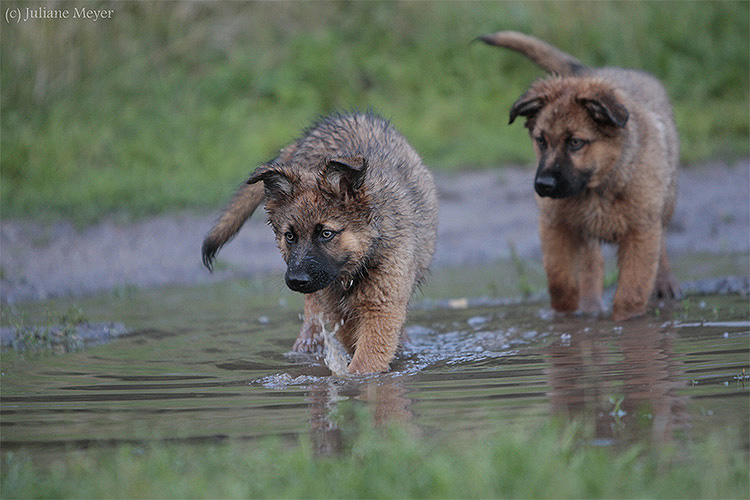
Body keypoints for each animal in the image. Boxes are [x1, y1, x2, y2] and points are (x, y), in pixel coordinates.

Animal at [204, 111, 440, 374]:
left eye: (326, 234)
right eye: (290, 236)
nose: (296, 280)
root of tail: (328, 122)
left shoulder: (382, 308)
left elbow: (365, 361)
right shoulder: (341, 313)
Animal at [478, 31, 684, 320]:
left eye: (575, 142)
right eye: (541, 140)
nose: (543, 185)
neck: (597, 188)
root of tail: (596, 73)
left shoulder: (641, 229)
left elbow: (632, 291)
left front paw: (626, 323)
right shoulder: (557, 227)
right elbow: (562, 284)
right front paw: (565, 319)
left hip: (666, 201)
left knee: (662, 241)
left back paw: (665, 283)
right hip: (583, 231)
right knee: (591, 264)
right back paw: (590, 305)